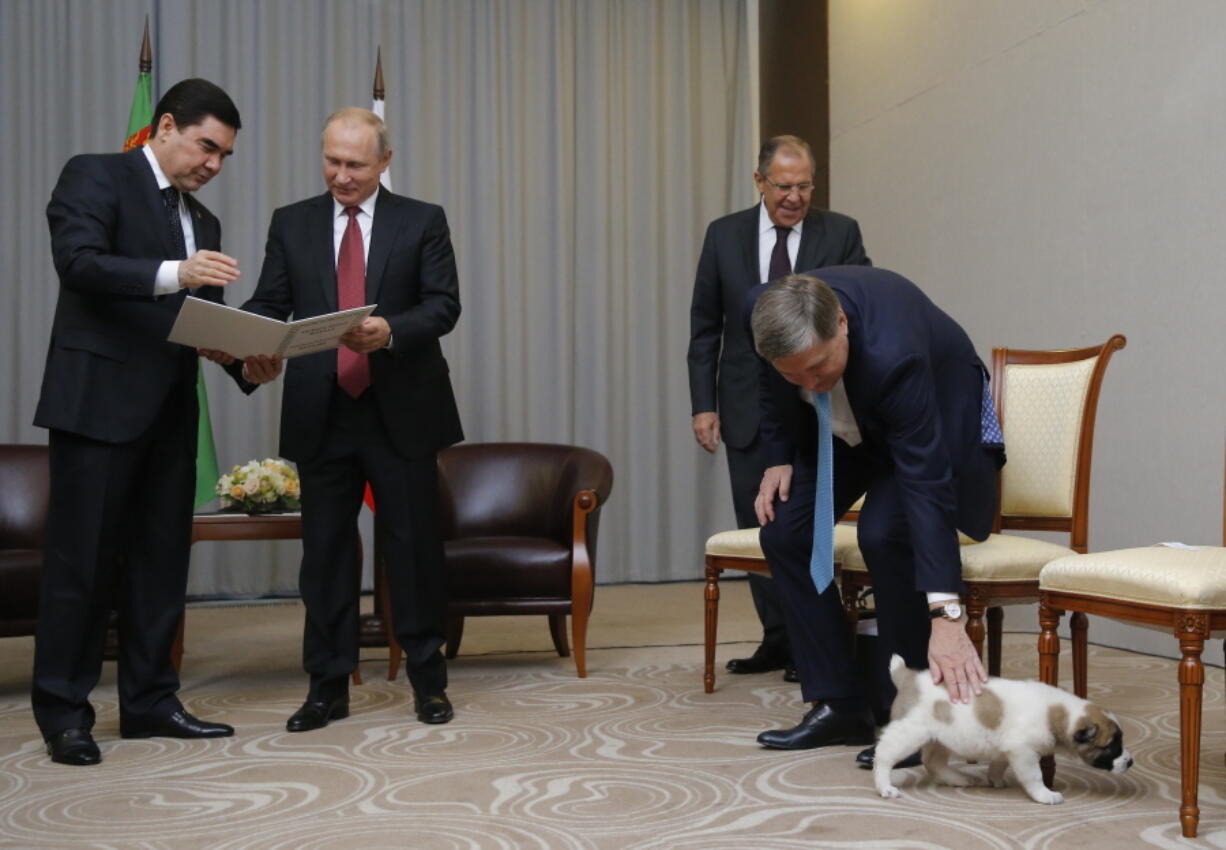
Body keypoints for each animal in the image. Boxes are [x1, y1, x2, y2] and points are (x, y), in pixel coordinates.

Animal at [872, 647, 1127, 804]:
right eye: (1111, 745)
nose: (1130, 762)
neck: (1057, 712)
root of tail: (907, 677)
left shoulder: (1007, 748)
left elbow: (998, 764)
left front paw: (995, 779)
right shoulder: (1024, 752)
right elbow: (1034, 776)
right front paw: (1044, 794)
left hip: (941, 737)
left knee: (932, 762)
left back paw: (958, 778)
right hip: (909, 731)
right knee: (884, 755)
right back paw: (884, 786)